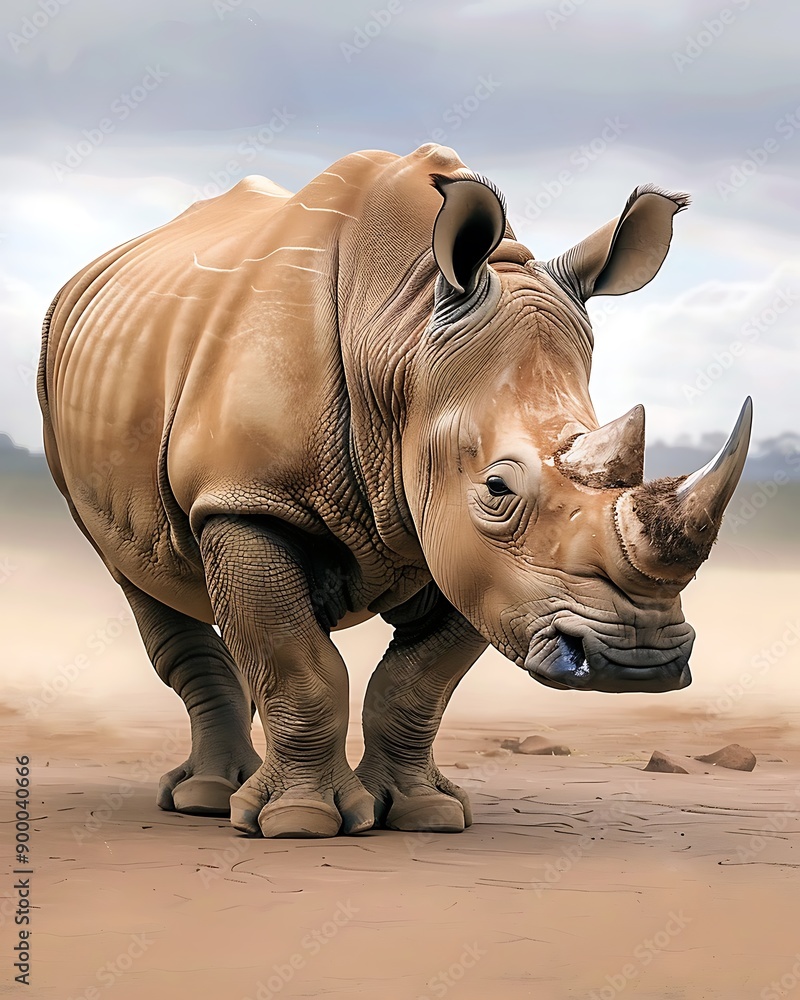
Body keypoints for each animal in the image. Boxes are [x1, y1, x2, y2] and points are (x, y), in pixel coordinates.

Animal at [38, 143, 751, 839]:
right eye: (498, 488)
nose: (640, 658)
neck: (401, 336)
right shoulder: (246, 499)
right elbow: (299, 665)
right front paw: (299, 823)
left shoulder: (473, 552)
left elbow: (418, 681)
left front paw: (425, 814)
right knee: (141, 575)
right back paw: (210, 801)